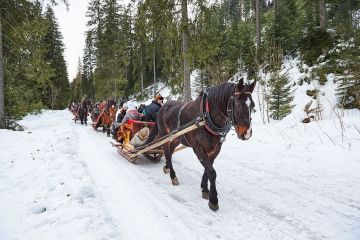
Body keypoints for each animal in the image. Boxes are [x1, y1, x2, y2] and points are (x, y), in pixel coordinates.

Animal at [146, 78, 256, 210]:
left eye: (253, 105)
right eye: (238, 104)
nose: (247, 133)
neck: (206, 117)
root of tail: (163, 107)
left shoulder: (215, 149)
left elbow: (208, 170)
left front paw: (205, 189)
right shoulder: (198, 149)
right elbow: (212, 172)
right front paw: (213, 200)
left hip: (177, 138)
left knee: (170, 152)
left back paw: (167, 167)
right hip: (165, 135)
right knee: (167, 153)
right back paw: (173, 176)